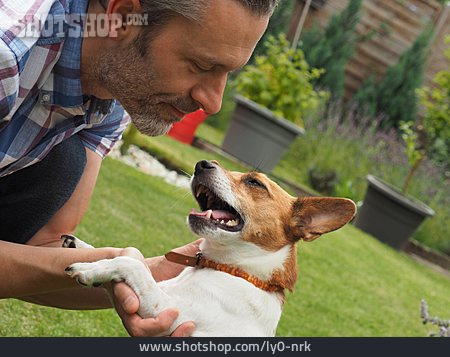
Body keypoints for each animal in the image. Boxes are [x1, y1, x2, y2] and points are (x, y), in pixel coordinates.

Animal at [66, 160, 356, 336]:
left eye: (255, 182)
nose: (202, 163)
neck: (231, 269)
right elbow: (128, 257)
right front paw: (83, 248)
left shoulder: (170, 310)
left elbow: (131, 264)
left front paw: (88, 269)